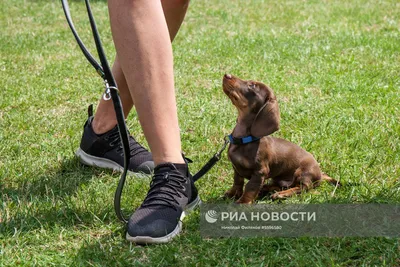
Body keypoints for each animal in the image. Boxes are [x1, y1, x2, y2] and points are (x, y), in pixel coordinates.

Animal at [222, 74, 338, 204]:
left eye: (252, 85)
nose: (227, 75)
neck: (245, 139)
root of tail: (320, 174)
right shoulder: (236, 168)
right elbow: (237, 182)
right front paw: (232, 194)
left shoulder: (260, 172)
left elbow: (250, 188)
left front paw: (243, 202)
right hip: (278, 178)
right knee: (283, 185)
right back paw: (266, 189)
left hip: (302, 172)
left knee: (301, 188)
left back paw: (281, 195)